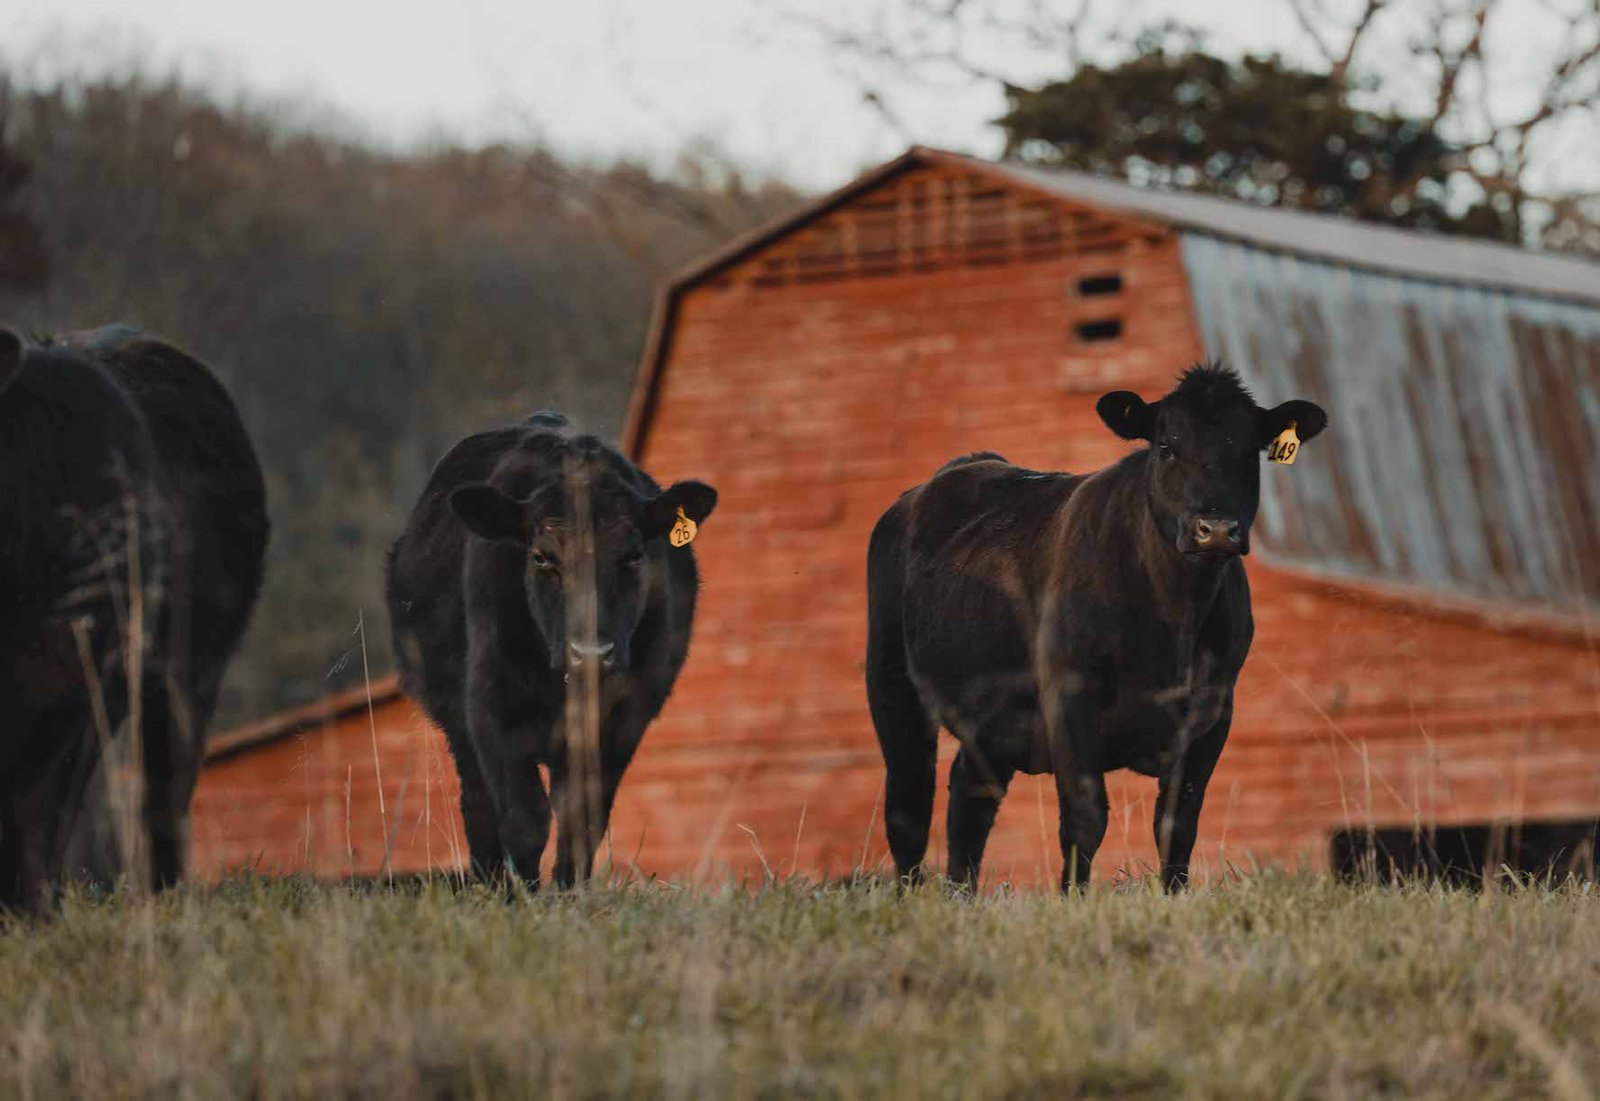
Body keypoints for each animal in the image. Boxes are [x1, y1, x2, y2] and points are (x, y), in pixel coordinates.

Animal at [387, 413, 716, 890]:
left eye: (634, 555)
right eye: (542, 557)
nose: (591, 653)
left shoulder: (622, 720)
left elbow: (583, 817)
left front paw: (567, 893)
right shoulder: (492, 711)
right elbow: (525, 819)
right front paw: (522, 895)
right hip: (458, 721)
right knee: (478, 803)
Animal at [865, 364, 1326, 893]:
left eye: (1249, 451)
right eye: (1166, 446)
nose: (1214, 530)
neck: (1174, 622)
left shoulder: (1214, 710)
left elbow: (1177, 825)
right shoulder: (1069, 697)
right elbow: (1087, 819)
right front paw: (1073, 900)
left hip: (992, 719)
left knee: (969, 795)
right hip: (892, 687)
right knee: (908, 807)